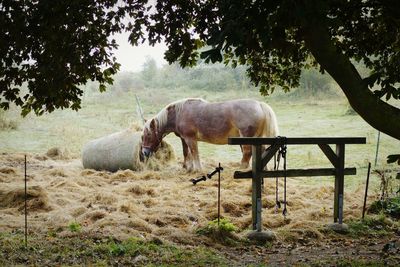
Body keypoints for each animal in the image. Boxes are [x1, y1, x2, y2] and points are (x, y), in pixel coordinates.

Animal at [141, 98, 278, 172]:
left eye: (148, 135)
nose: (144, 152)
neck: (178, 114)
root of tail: (259, 104)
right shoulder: (184, 139)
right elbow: (186, 153)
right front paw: (187, 167)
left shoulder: (190, 139)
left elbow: (194, 153)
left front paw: (197, 169)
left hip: (246, 137)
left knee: (247, 152)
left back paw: (242, 167)